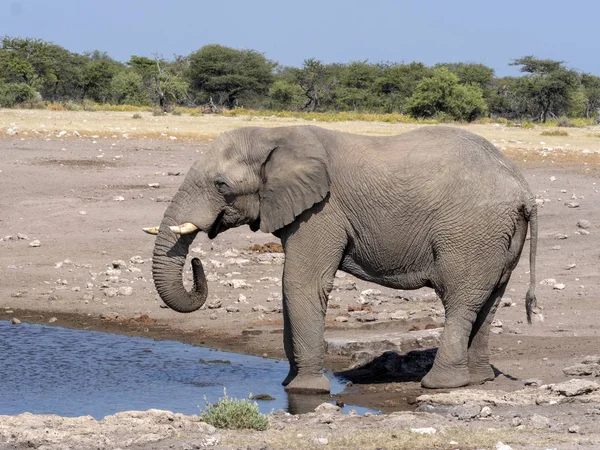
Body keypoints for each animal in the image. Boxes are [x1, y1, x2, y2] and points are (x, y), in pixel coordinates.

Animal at [145, 124, 540, 394]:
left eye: (221, 185)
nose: (197, 262)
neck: (275, 133)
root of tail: (524, 189)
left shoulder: (322, 212)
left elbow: (300, 283)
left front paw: (306, 390)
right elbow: (292, 286)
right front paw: (290, 384)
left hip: (470, 232)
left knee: (460, 300)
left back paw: (440, 385)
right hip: (496, 237)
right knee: (489, 301)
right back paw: (480, 379)